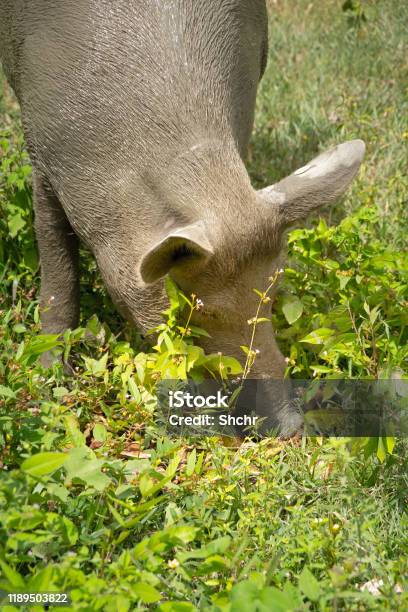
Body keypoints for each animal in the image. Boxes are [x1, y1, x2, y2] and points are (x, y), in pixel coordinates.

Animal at [0, 0, 364, 436]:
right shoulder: (42, 153)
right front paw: (50, 378)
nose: (294, 427)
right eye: (201, 311)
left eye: (272, 293)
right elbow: (56, 261)